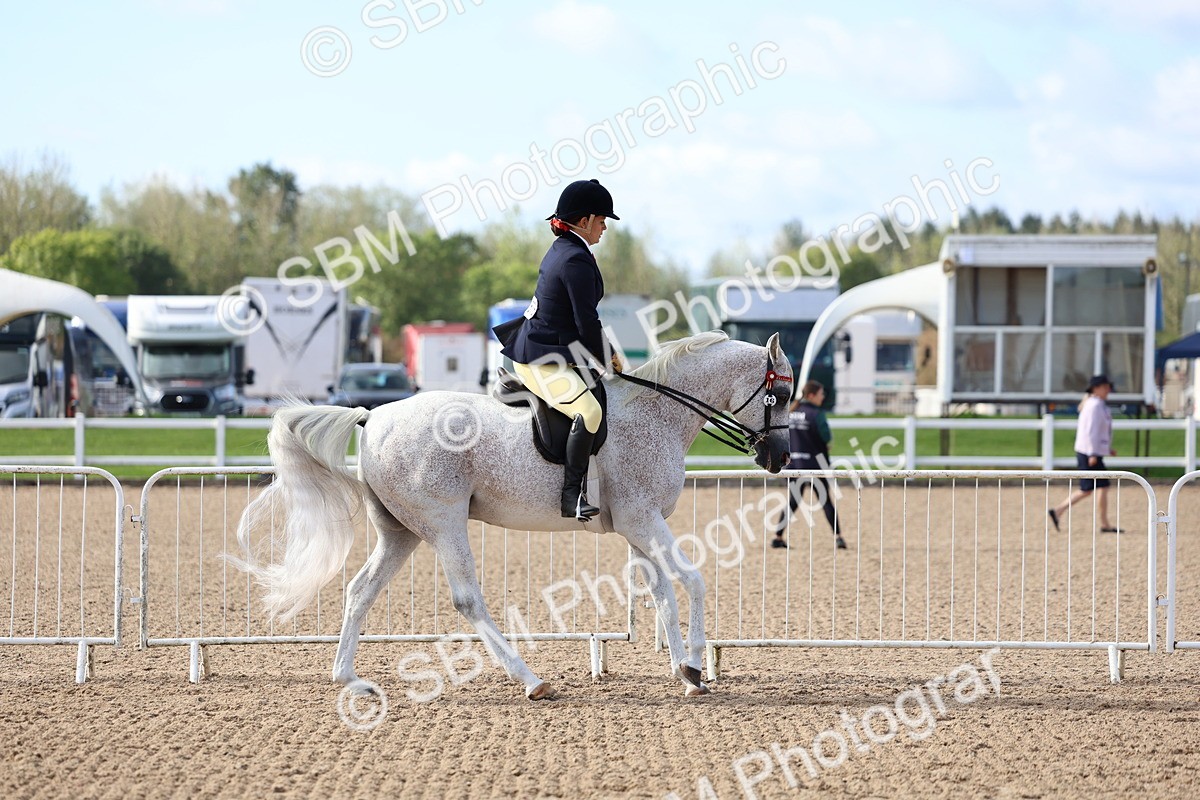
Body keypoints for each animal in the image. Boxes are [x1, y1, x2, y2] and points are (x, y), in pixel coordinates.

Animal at [233, 330, 792, 699]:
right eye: (781, 394)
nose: (780, 458)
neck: (657, 414)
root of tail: (373, 416)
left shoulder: (638, 524)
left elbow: (663, 596)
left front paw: (684, 671)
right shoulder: (644, 520)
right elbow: (693, 581)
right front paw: (695, 665)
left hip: (401, 532)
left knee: (360, 590)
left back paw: (348, 678)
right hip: (444, 522)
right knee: (467, 600)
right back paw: (531, 680)